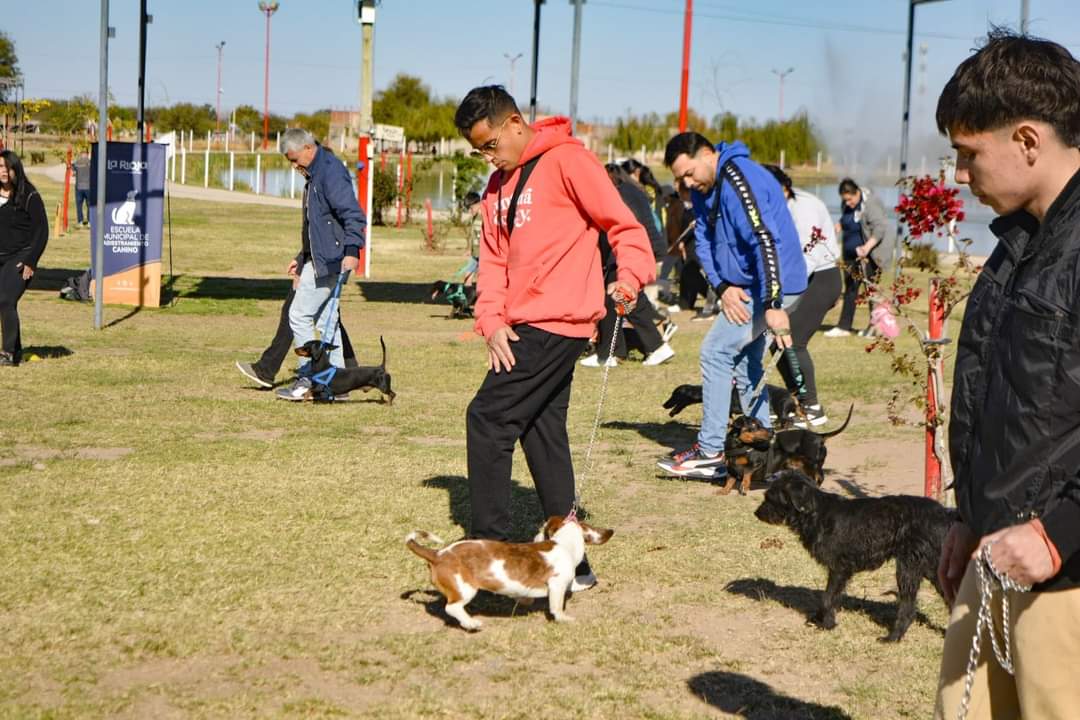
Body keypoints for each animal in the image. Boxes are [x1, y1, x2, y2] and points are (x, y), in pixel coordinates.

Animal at [406, 518, 613, 630]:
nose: (536, 536)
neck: (563, 543)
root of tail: (438, 554)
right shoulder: (557, 585)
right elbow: (556, 607)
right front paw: (563, 619)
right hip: (465, 588)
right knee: (452, 607)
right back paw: (471, 623)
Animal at [751, 470, 954, 643]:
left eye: (770, 497)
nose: (756, 513)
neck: (815, 512)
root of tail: (944, 513)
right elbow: (831, 596)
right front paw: (819, 619)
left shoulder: (839, 568)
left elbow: (827, 597)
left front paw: (827, 624)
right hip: (932, 569)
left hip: (908, 568)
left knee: (909, 607)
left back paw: (893, 637)